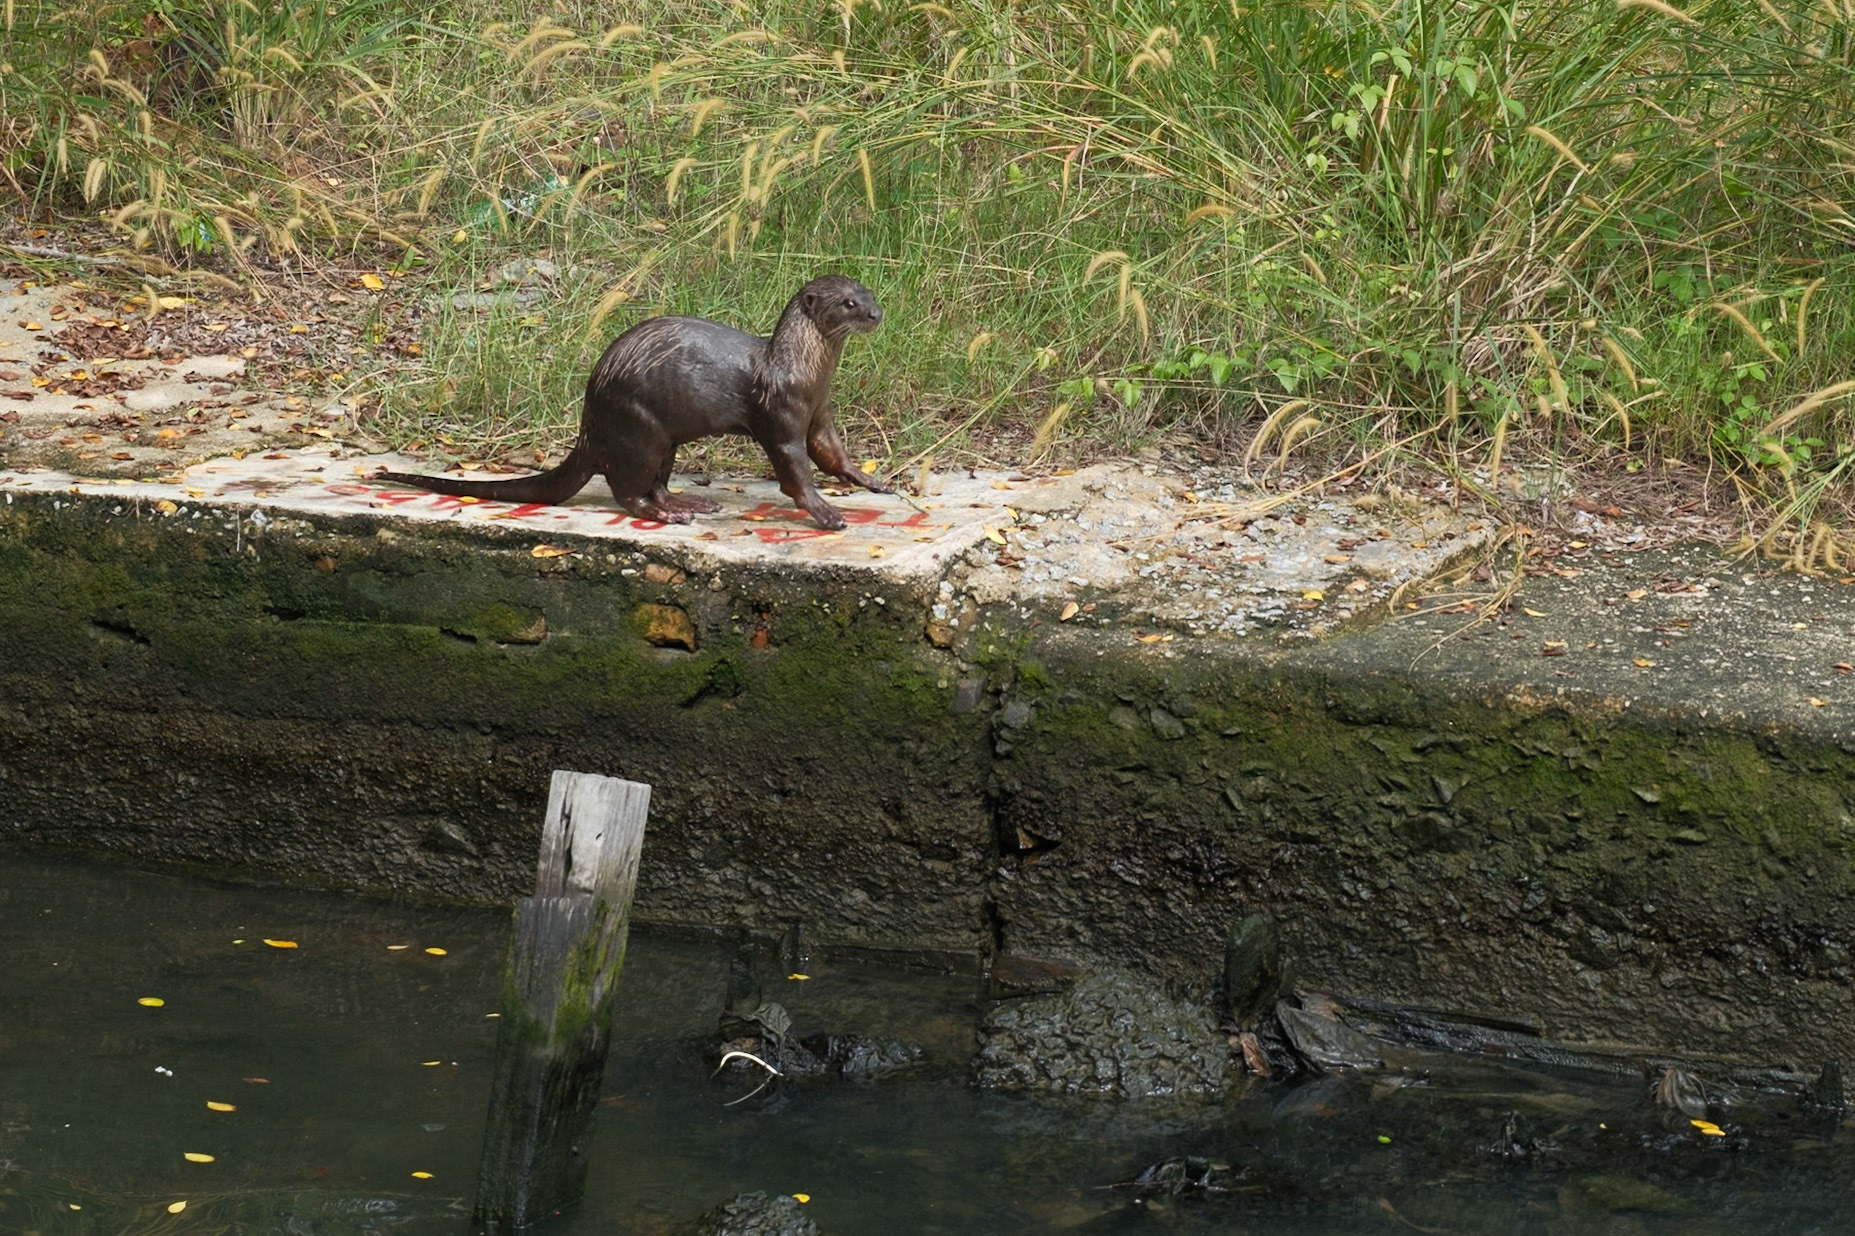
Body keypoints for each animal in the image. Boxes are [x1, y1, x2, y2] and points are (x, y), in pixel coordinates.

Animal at [372, 274, 892, 530]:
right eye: (848, 303)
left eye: (868, 292)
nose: (876, 313)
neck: (801, 369)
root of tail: (589, 424)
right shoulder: (781, 418)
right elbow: (795, 473)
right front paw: (826, 513)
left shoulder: (819, 413)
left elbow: (833, 454)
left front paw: (872, 480)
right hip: (639, 431)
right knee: (628, 491)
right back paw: (669, 513)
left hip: (665, 439)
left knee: (655, 483)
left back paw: (688, 502)